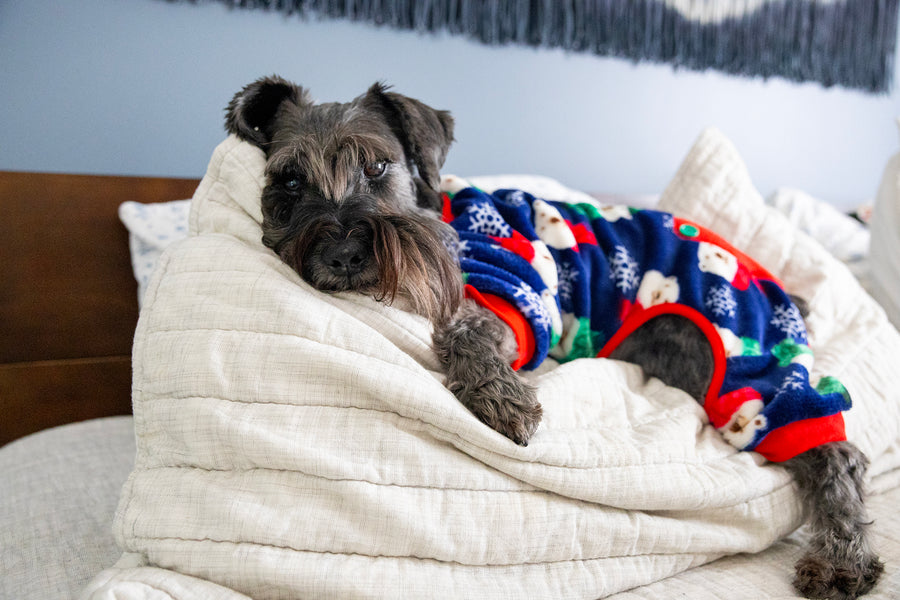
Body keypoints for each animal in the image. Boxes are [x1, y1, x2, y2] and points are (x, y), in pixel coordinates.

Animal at [227, 76, 884, 600]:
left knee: (834, 453)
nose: (342, 256)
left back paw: (841, 562)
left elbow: (465, 329)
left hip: (746, 369)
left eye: (378, 167)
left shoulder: (513, 293)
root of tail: (778, 289)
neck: (440, 215)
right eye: (289, 182)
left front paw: (501, 398)